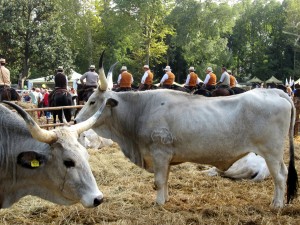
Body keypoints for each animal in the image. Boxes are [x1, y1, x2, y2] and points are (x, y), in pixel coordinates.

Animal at [74, 51, 298, 208]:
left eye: (92, 101)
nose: (75, 119)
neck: (140, 110)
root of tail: (275, 92)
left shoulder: (160, 153)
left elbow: (159, 181)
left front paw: (158, 203)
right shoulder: (166, 158)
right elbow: (165, 180)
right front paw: (165, 199)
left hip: (271, 152)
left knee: (280, 176)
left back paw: (277, 204)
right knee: (283, 174)